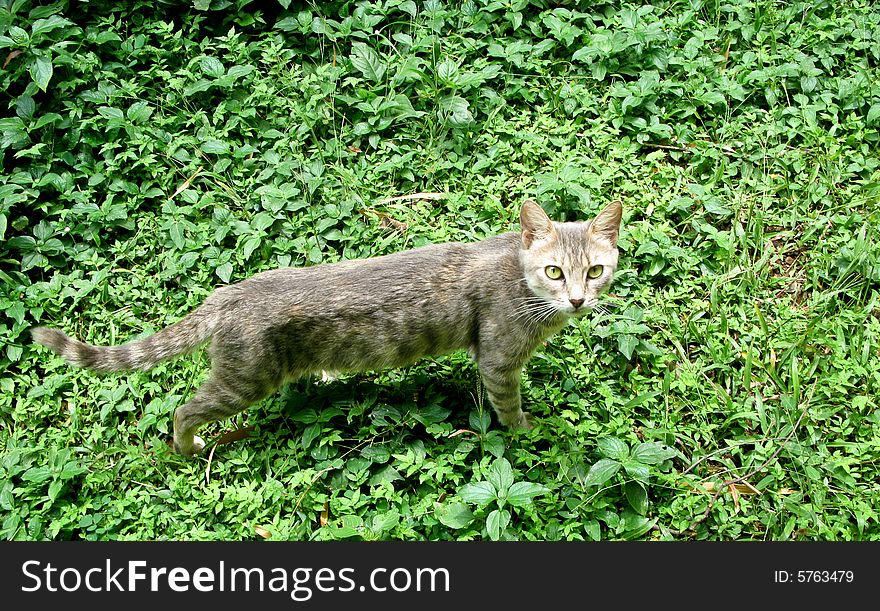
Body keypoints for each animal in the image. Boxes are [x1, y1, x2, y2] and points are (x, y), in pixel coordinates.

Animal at [31, 198, 624, 456]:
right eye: (554, 272)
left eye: (595, 271)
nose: (577, 299)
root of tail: (227, 294)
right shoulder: (500, 358)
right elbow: (508, 405)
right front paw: (527, 431)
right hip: (245, 380)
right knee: (183, 410)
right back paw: (188, 448)